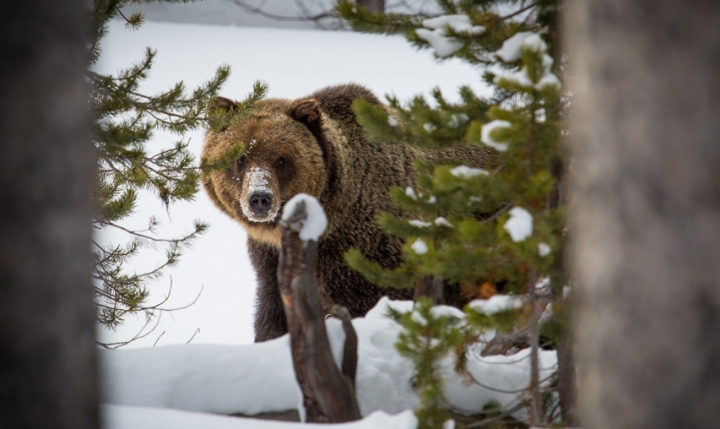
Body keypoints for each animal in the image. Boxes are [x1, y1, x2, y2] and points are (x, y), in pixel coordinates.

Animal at [202, 84, 496, 342]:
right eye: (240, 159)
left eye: (281, 159)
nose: (260, 198)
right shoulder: (270, 258)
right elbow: (273, 312)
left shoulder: (363, 251)